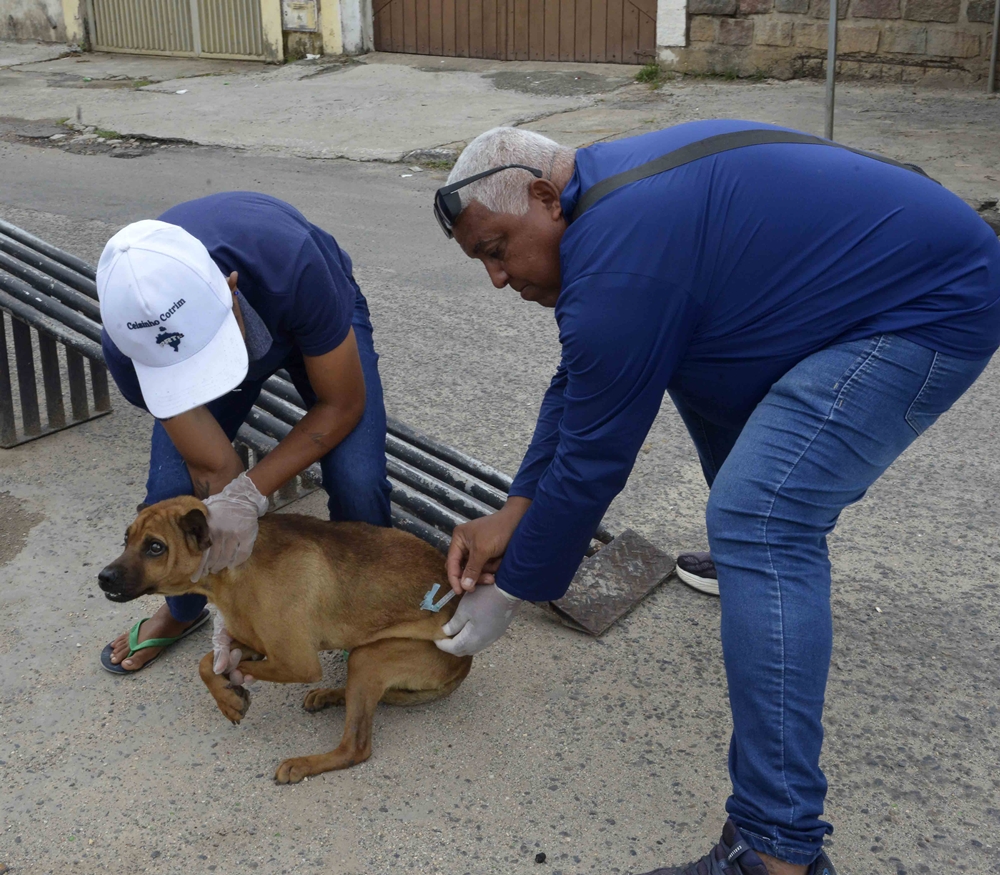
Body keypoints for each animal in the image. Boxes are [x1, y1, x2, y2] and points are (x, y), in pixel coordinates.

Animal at [99, 496, 474, 784]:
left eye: (155, 547)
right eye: (126, 539)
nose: (103, 577)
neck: (233, 570)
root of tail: (465, 665)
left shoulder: (296, 663)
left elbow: (240, 669)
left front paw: (232, 688)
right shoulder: (250, 641)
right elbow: (206, 663)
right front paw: (228, 700)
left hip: (372, 656)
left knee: (356, 748)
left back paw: (304, 763)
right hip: (364, 655)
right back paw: (330, 695)